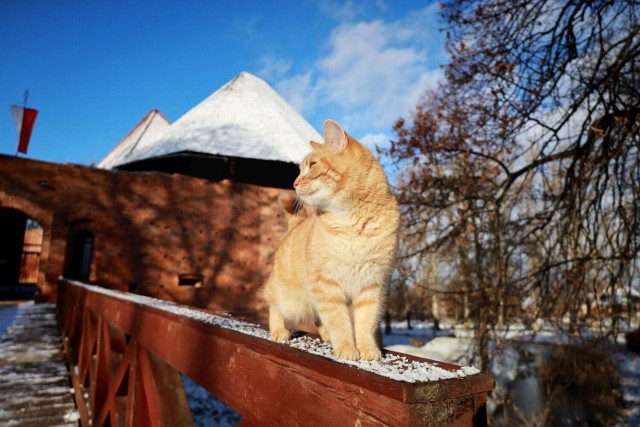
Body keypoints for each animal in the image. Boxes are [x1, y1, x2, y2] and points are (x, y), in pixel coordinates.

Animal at [262, 118, 398, 360]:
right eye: (300, 170)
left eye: (313, 165)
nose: (294, 184)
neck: (354, 222)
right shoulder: (327, 285)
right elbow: (339, 321)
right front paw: (346, 348)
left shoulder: (372, 287)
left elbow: (365, 323)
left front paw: (366, 348)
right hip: (290, 299)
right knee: (273, 303)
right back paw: (279, 330)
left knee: (318, 316)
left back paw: (326, 335)